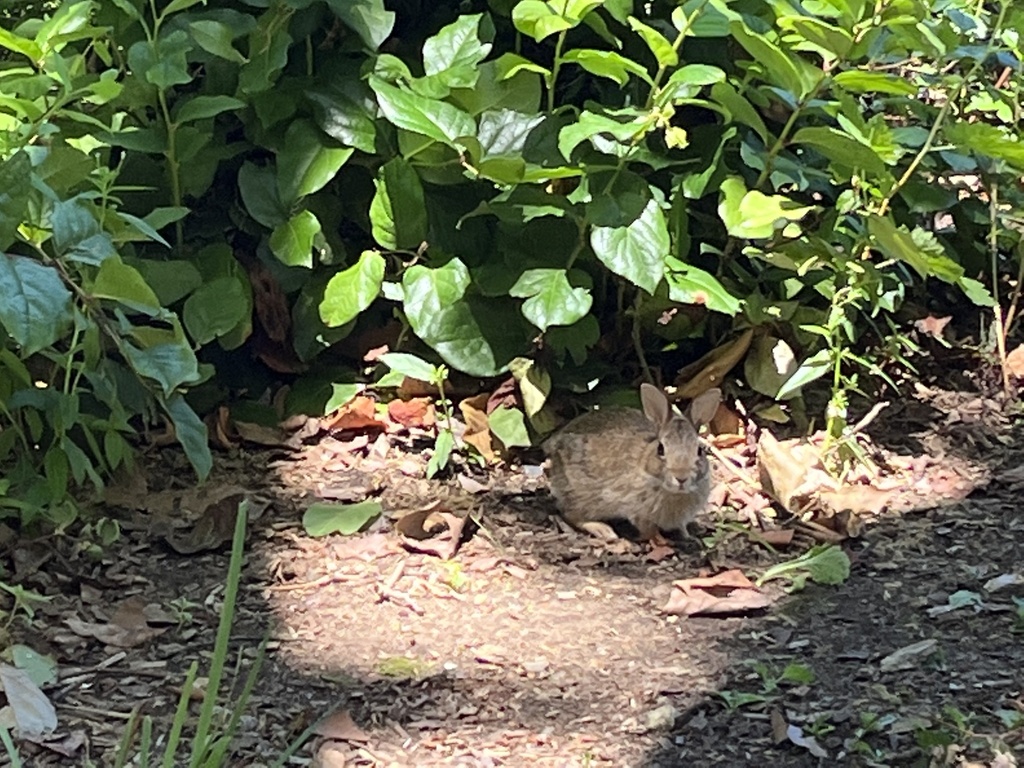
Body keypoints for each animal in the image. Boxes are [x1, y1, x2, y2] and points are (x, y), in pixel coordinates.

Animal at [544, 384, 721, 541]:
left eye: (699, 450)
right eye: (660, 449)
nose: (681, 477)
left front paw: (688, 536)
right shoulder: (637, 511)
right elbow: (648, 530)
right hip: (581, 495)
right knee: (570, 514)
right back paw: (603, 530)